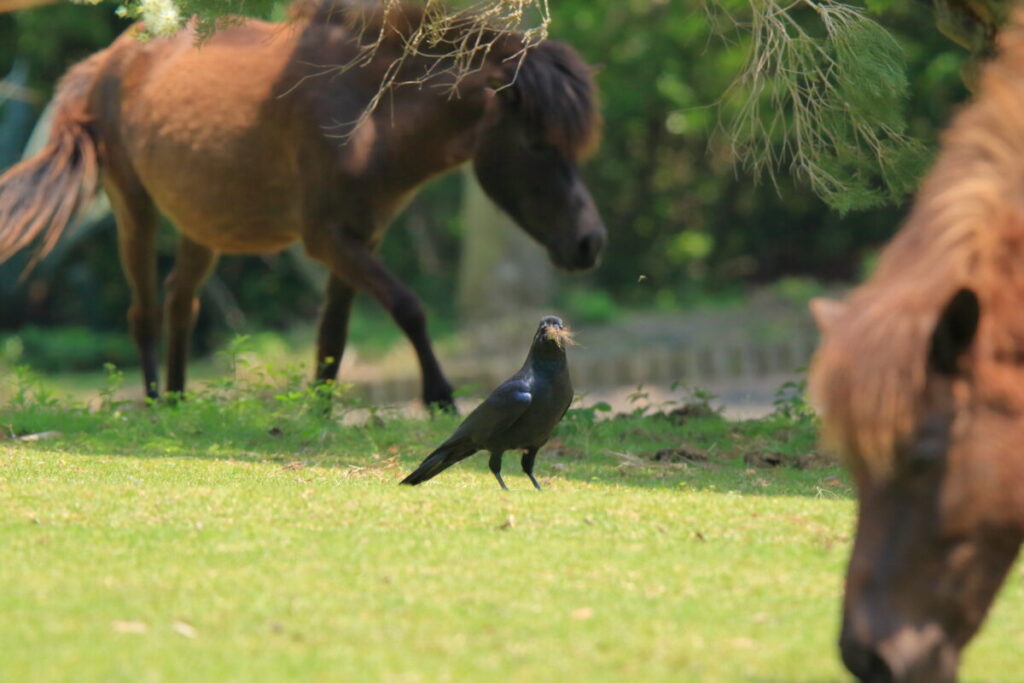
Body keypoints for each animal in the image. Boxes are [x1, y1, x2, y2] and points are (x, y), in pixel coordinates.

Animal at [0, 0, 605, 410]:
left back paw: (177, 401)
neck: (367, 113)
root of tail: (110, 58)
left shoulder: (360, 239)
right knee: (145, 312)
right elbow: (409, 306)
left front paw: (319, 410)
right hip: (133, 207)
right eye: (538, 143)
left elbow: (333, 337)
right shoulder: (328, 239)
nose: (590, 242)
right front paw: (439, 396)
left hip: (202, 225)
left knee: (180, 304)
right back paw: (153, 404)